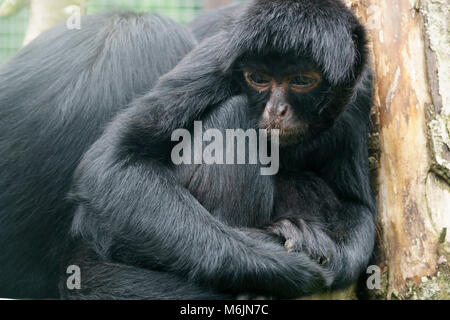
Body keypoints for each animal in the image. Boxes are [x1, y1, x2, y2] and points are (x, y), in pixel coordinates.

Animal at [0, 0, 376, 300]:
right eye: (257, 79)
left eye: (301, 81)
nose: (275, 110)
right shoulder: (215, 60)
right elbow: (110, 164)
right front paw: (283, 262)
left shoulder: (360, 92)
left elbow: (358, 206)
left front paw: (334, 258)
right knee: (232, 114)